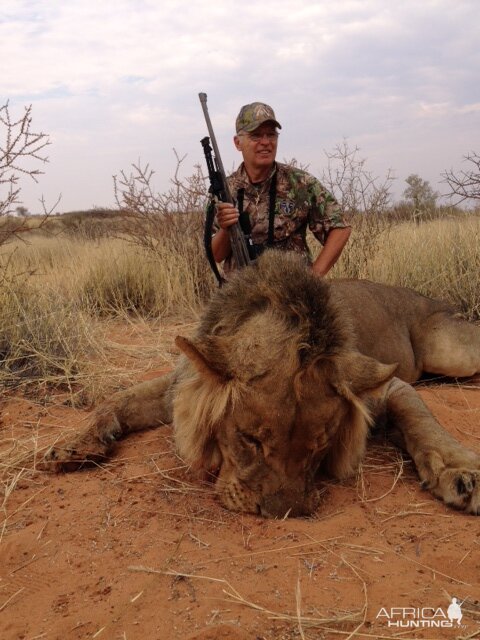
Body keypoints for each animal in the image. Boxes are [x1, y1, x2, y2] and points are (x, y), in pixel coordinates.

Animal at [45, 251, 480, 517]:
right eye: (250, 440)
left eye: (320, 446)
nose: (280, 514)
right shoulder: (179, 385)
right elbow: (119, 399)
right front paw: (75, 445)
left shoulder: (381, 386)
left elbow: (421, 421)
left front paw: (461, 472)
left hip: (451, 351)